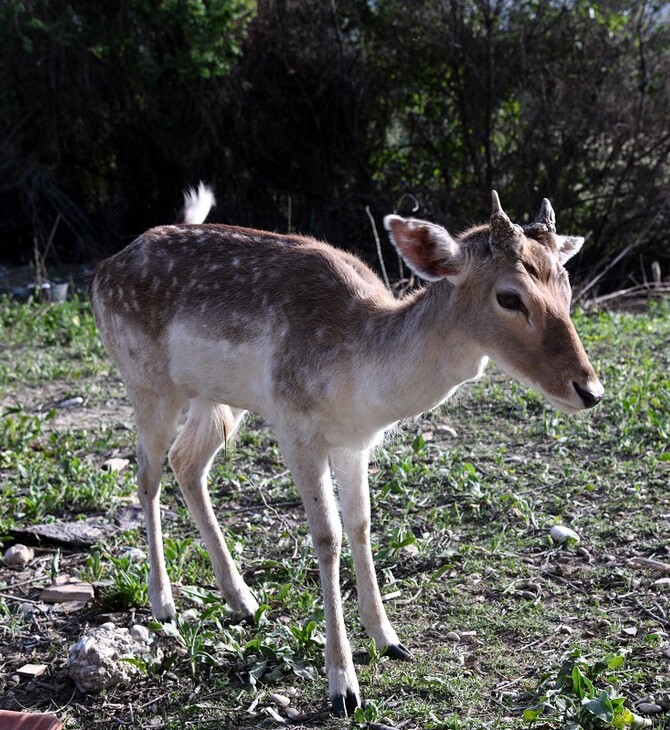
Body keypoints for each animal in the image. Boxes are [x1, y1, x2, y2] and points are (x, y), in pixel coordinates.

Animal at [90, 185, 604, 712]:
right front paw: (343, 685)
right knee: (147, 475)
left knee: (186, 463)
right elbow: (327, 537)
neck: (362, 376)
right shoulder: (295, 426)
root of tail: (104, 269)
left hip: (217, 400)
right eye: (509, 296)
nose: (590, 390)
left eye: (567, 288)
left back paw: (243, 600)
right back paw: (163, 603)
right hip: (147, 382)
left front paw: (389, 639)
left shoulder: (356, 442)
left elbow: (361, 524)